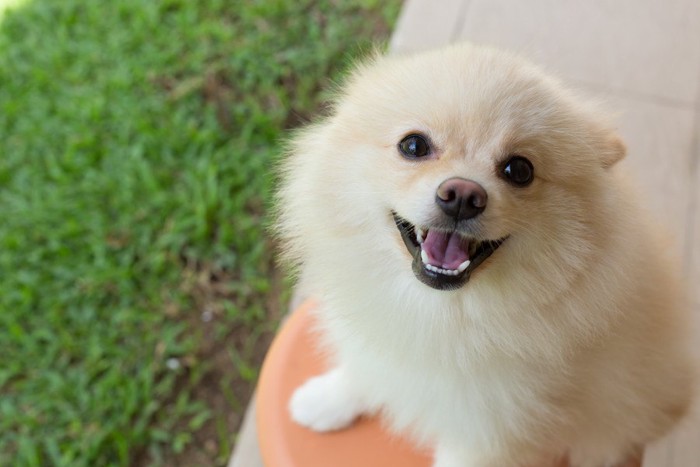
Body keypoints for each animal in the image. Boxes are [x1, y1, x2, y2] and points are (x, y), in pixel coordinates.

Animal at [274, 42, 696, 466]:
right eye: (414, 146)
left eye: (519, 170)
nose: (462, 195)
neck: (438, 312)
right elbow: (365, 369)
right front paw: (326, 399)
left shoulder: (489, 433)